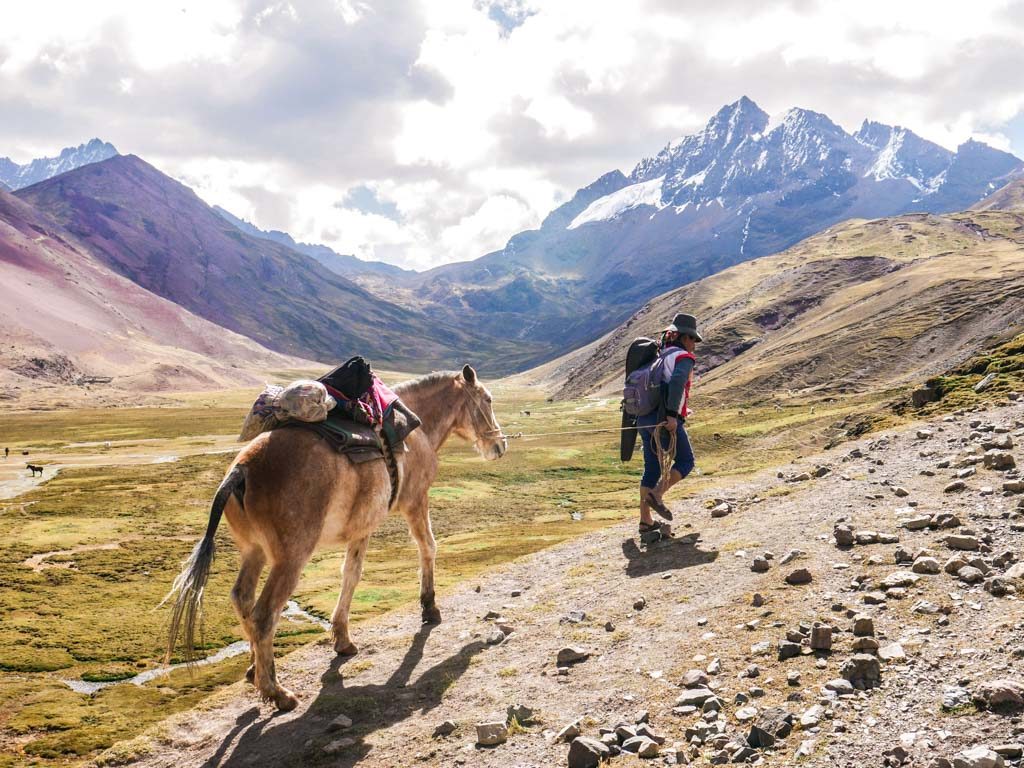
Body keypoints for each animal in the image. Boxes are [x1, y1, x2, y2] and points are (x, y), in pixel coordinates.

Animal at [162, 364, 507, 712]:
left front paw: (342, 639)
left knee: (242, 598)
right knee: (263, 615)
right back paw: (277, 692)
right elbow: (427, 547)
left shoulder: (361, 529)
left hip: (253, 551)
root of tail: (241, 469)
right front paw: (429, 607)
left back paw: (253, 668)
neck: (417, 428)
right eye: (488, 400)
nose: (500, 446)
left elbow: (350, 575)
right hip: (290, 558)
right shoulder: (415, 501)